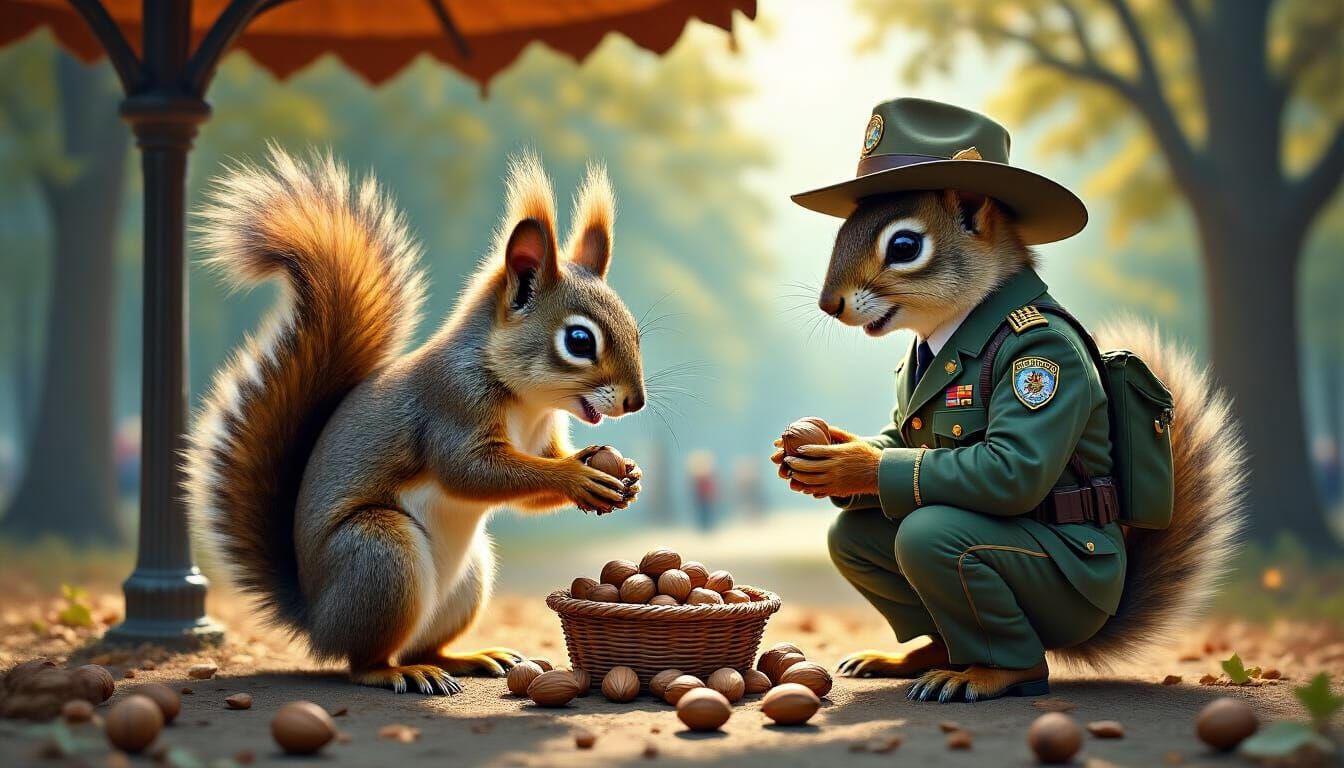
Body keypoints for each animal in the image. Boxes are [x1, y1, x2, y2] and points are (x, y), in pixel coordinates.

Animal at [185, 148, 647, 695]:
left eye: (636, 331)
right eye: (579, 341)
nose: (637, 402)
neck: (528, 401)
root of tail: (316, 618)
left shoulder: (540, 436)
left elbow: (530, 482)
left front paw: (622, 474)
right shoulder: (451, 405)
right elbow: (471, 471)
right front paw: (578, 476)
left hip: (469, 578)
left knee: (427, 643)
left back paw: (469, 657)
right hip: (382, 555)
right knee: (362, 661)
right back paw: (398, 672)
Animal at [778, 189, 1245, 681]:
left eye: (904, 246)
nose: (828, 304)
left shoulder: (1043, 354)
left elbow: (1010, 468)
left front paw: (849, 465)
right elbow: (897, 436)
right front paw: (833, 442)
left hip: (1059, 593)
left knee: (932, 538)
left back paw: (991, 674)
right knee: (854, 539)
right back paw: (919, 658)